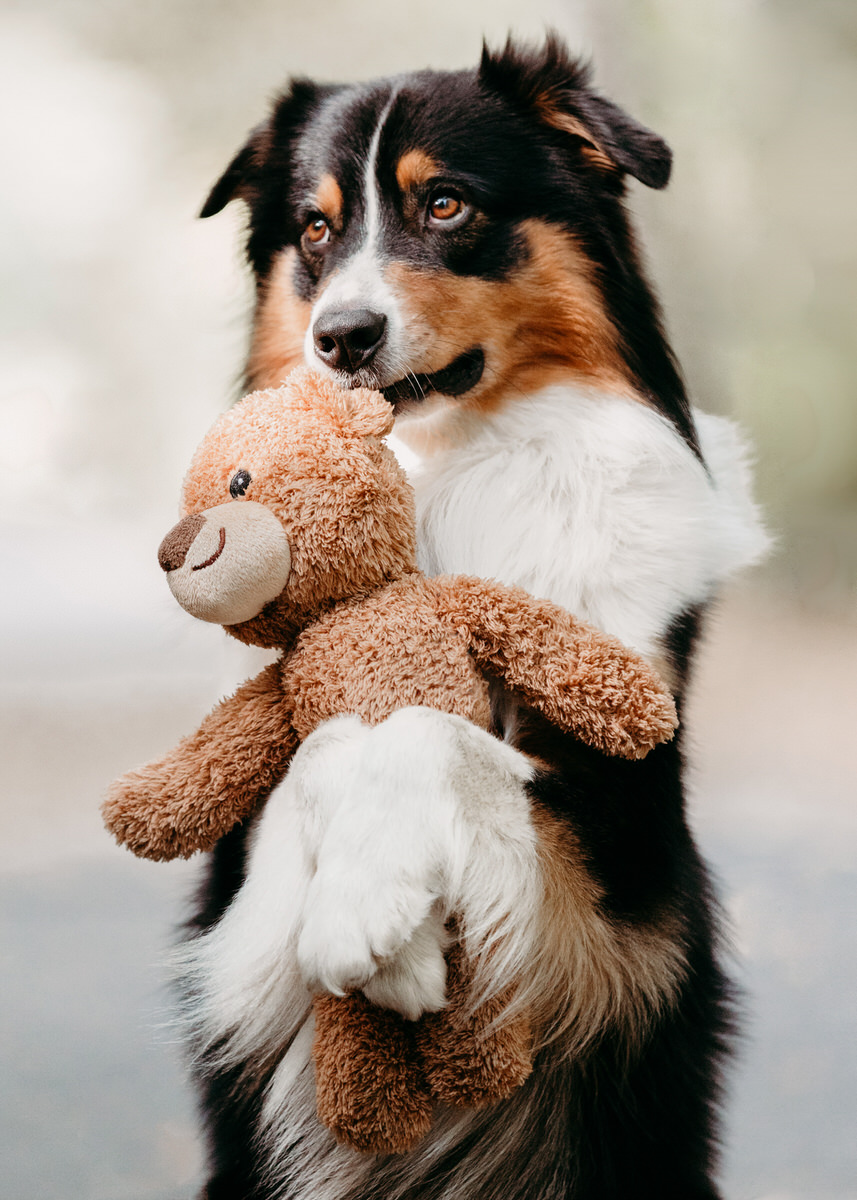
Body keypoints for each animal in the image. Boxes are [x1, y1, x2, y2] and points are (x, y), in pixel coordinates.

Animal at [180, 35, 768, 1200]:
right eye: (314, 230)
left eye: (445, 204)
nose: (339, 338)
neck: (444, 467)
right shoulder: (233, 897)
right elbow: (324, 749)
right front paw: (384, 929)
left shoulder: (620, 883)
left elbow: (427, 729)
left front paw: (369, 911)